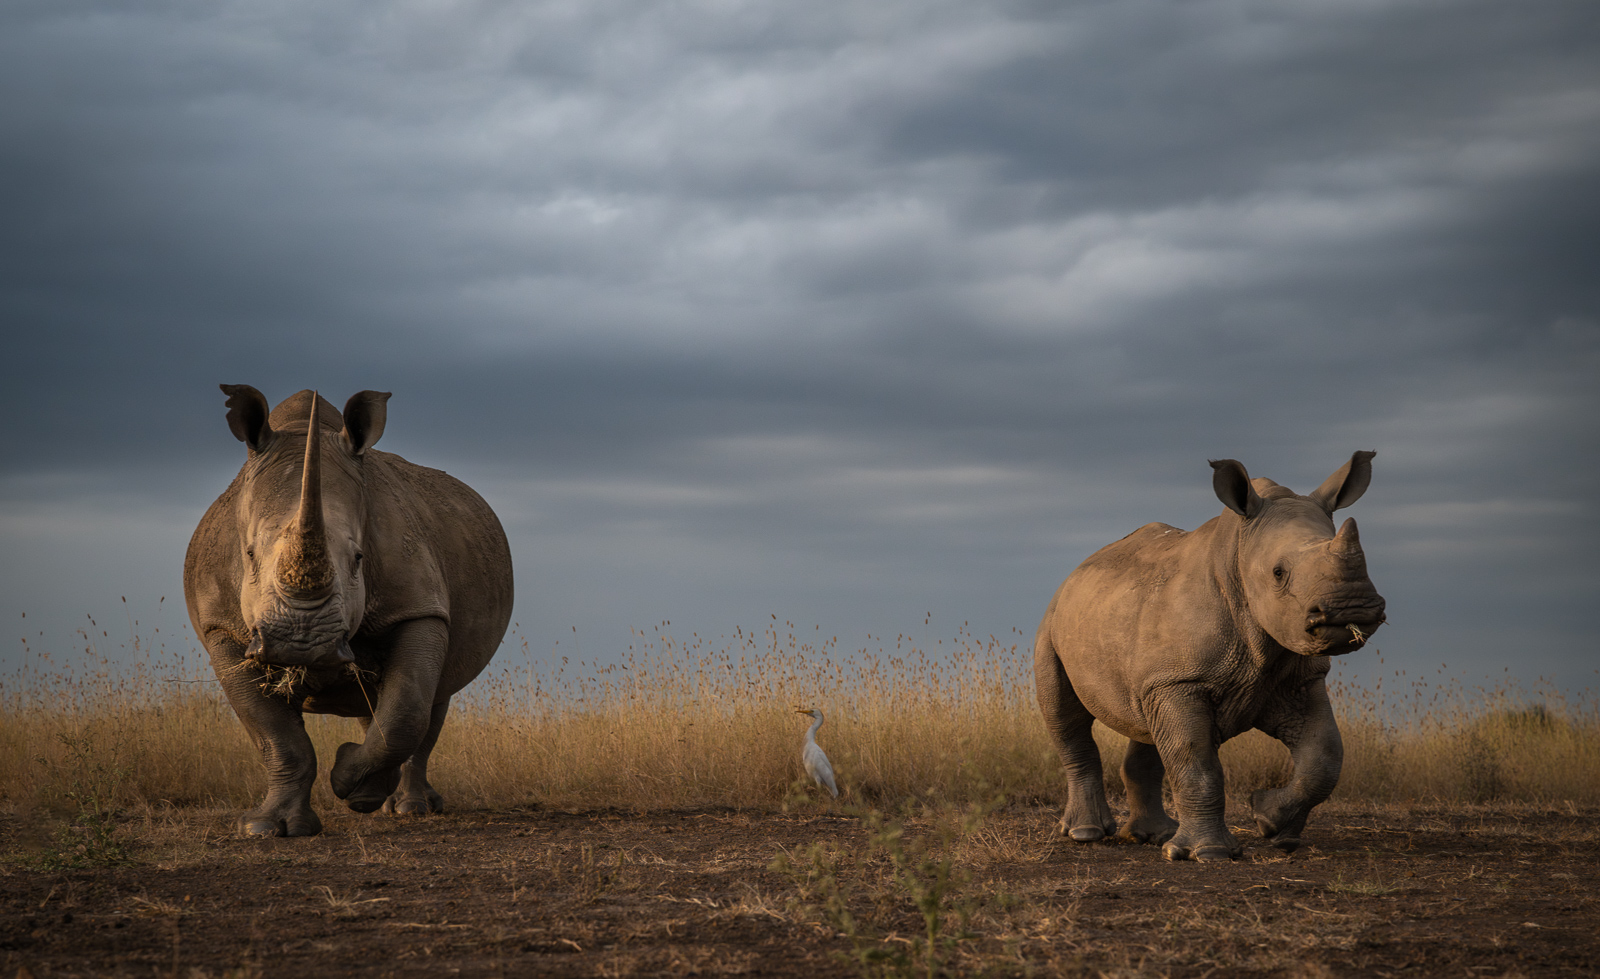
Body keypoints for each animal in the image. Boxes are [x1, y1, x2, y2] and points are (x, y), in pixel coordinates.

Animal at [184, 386, 514, 836]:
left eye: (359, 559)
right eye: (248, 555)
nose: (300, 643)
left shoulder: (418, 607)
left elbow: (407, 709)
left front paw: (349, 783)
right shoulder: (222, 627)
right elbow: (273, 733)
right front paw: (268, 829)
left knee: (430, 696)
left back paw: (405, 806)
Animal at [1034, 452, 1385, 861]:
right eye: (1278, 573)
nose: (1353, 608)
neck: (1238, 557)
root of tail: (1075, 574)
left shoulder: (1296, 678)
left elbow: (1325, 756)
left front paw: (1270, 824)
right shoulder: (1181, 679)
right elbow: (1196, 762)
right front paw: (1210, 854)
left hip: (1127, 636)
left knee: (1147, 725)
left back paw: (1155, 834)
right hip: (1053, 623)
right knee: (1067, 717)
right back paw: (1086, 834)